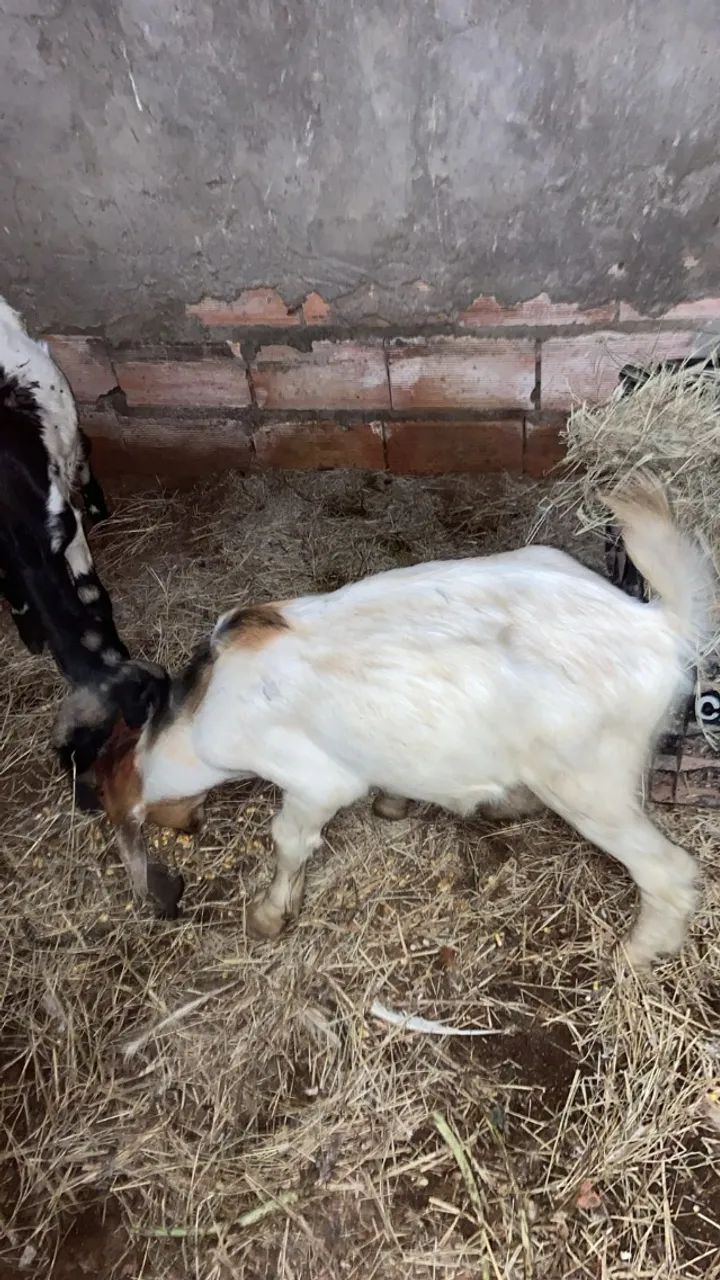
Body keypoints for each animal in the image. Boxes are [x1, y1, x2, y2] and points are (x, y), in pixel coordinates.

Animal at [85, 474, 712, 966]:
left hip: (588, 782)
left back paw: (634, 955)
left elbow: (289, 838)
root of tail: (657, 625)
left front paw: (267, 914)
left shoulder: (315, 781)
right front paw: (394, 802)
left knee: (670, 872)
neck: (199, 713)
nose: (189, 826)